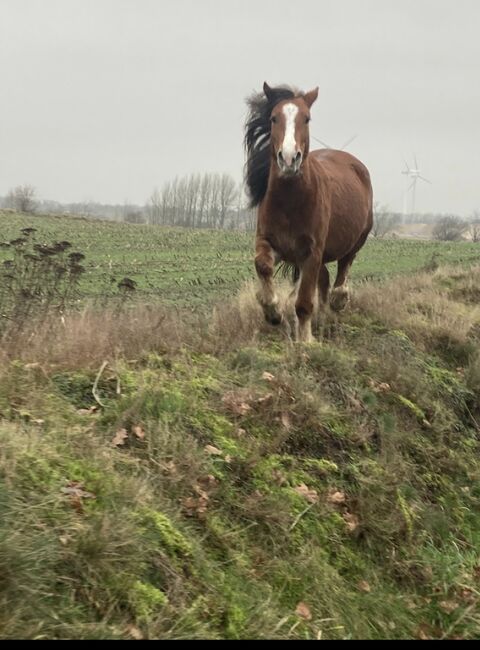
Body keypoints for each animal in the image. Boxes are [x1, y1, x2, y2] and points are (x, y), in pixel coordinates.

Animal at [246, 83, 374, 342]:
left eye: (306, 118)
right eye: (274, 118)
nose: (288, 159)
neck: (289, 203)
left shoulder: (311, 252)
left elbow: (304, 301)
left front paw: (305, 341)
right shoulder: (271, 242)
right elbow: (262, 265)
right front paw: (273, 312)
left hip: (357, 238)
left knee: (343, 268)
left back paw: (338, 301)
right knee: (324, 281)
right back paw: (323, 317)